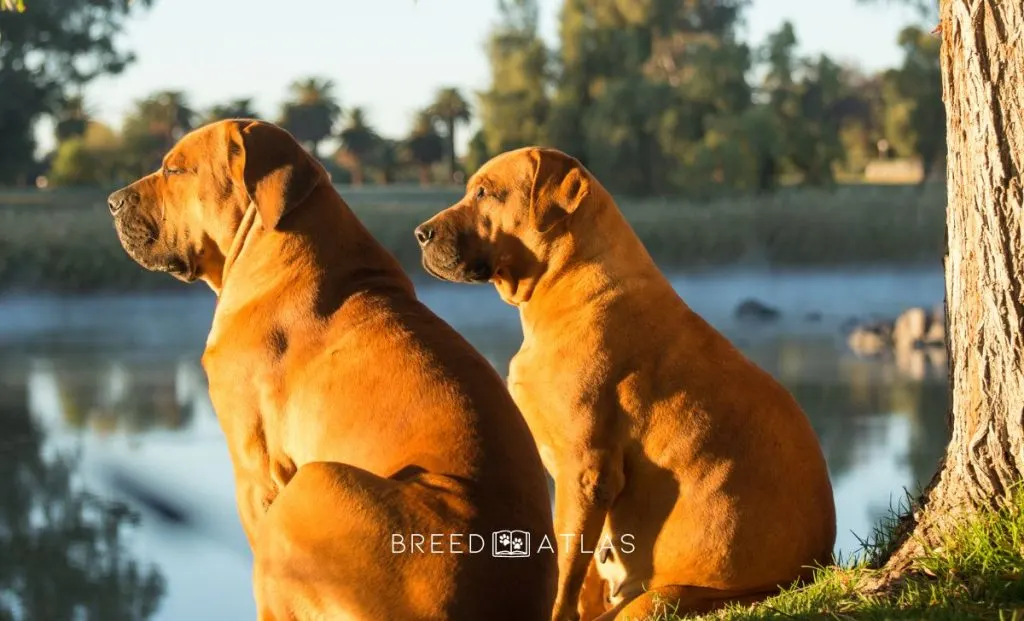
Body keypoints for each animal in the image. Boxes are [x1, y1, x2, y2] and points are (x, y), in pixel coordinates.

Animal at [411, 148, 835, 618]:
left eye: (485, 192)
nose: (420, 234)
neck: (566, 286)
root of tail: (812, 570)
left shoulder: (585, 472)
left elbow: (566, 566)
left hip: (659, 598)